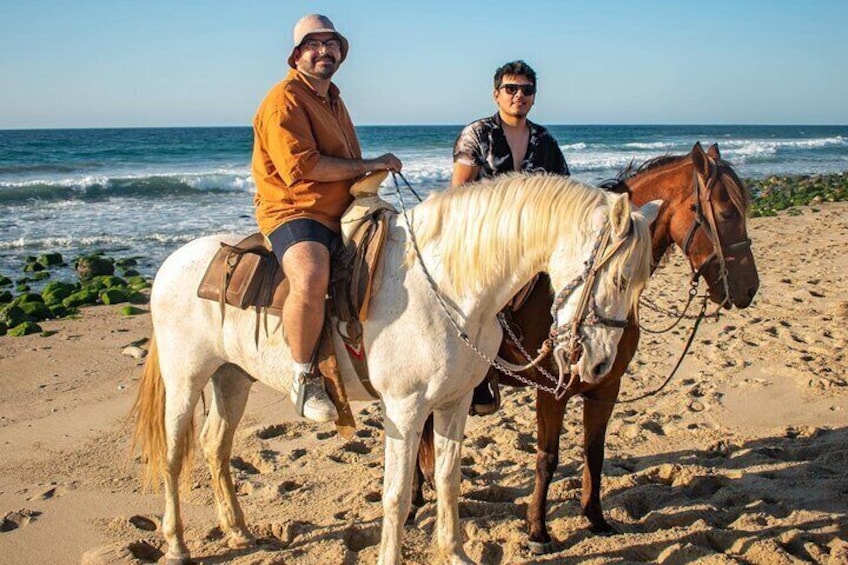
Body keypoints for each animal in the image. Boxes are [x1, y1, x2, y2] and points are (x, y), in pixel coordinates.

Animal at [134, 173, 664, 564]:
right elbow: (396, 493)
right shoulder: (405, 411)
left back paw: (239, 531)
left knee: (215, 448)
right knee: (176, 456)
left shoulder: (454, 403)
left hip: (232, 378)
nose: (601, 363)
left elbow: (448, 480)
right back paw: (177, 545)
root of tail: (171, 264)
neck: (449, 285)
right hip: (186, 380)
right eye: (619, 278)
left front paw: (455, 554)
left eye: (641, 281)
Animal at [414, 141, 760, 552]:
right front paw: (537, 530)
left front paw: (595, 517)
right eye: (726, 212)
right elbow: (547, 457)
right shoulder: (554, 389)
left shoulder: (605, 386)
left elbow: (594, 451)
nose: (749, 289)